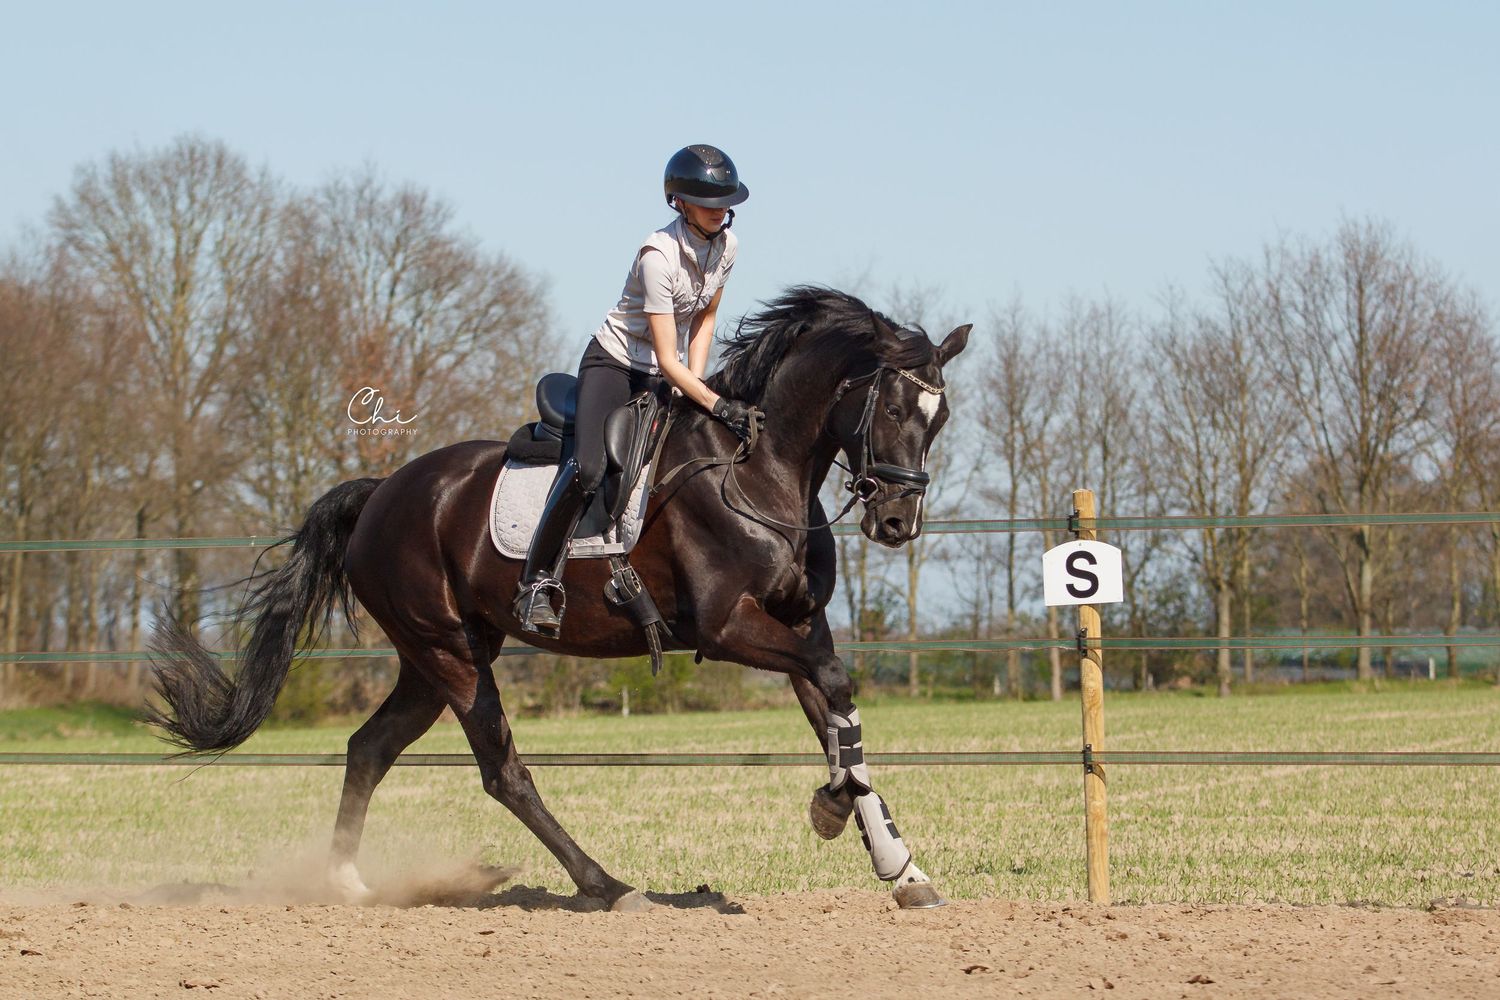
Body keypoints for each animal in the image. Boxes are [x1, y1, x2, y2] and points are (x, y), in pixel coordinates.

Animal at [147, 286, 971, 911]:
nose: (898, 523)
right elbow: (834, 693)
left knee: (369, 748)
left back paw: (348, 883)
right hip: (451, 655)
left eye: (940, 417)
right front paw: (833, 810)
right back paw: (607, 886)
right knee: (504, 773)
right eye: (892, 408)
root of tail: (382, 491)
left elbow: (836, 710)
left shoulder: (800, 623)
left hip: (434, 658)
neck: (759, 468)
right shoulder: (726, 627)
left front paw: (902, 868)